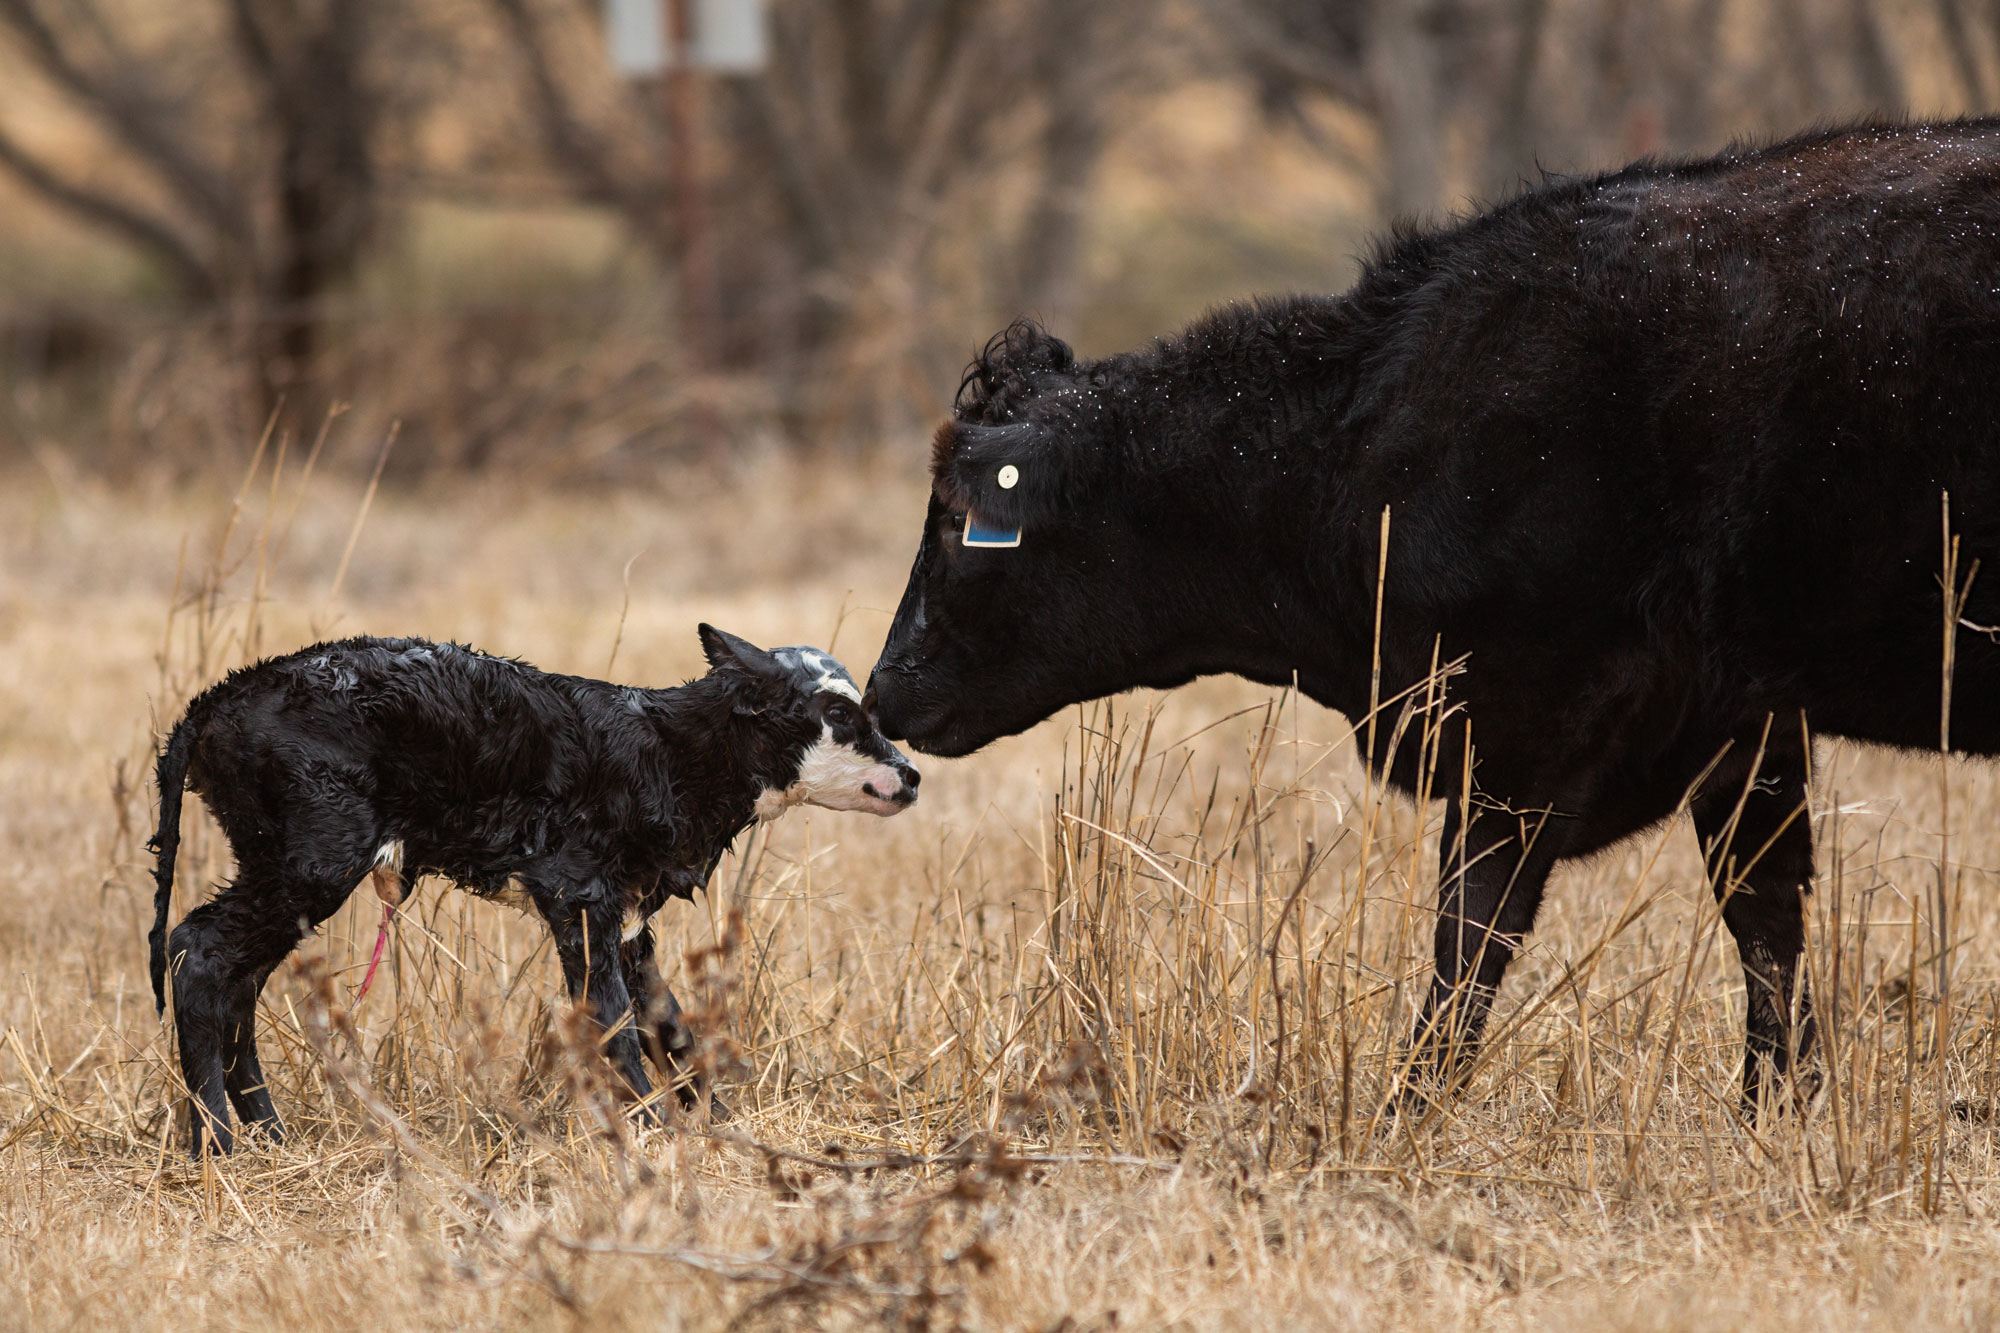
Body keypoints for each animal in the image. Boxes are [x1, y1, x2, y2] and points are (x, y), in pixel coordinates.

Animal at [150, 627, 918, 1154]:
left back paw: (269, 1135)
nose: (912, 776)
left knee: (238, 980)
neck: (668, 751)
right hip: (312, 863)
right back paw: (217, 1143)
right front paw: (651, 1128)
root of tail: (215, 702)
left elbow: (670, 1027)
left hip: (283, 871)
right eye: (840, 714)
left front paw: (715, 1124)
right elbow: (613, 1023)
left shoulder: (629, 920)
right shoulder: (578, 899)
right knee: (200, 950)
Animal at [867, 118, 2000, 1112]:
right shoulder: (1745, 724)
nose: (882, 688)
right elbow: (1763, 914)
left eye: (961, 524)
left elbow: (1473, 931)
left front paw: (1407, 1106)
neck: (1365, 440)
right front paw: (1776, 1109)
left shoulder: (1519, 725)